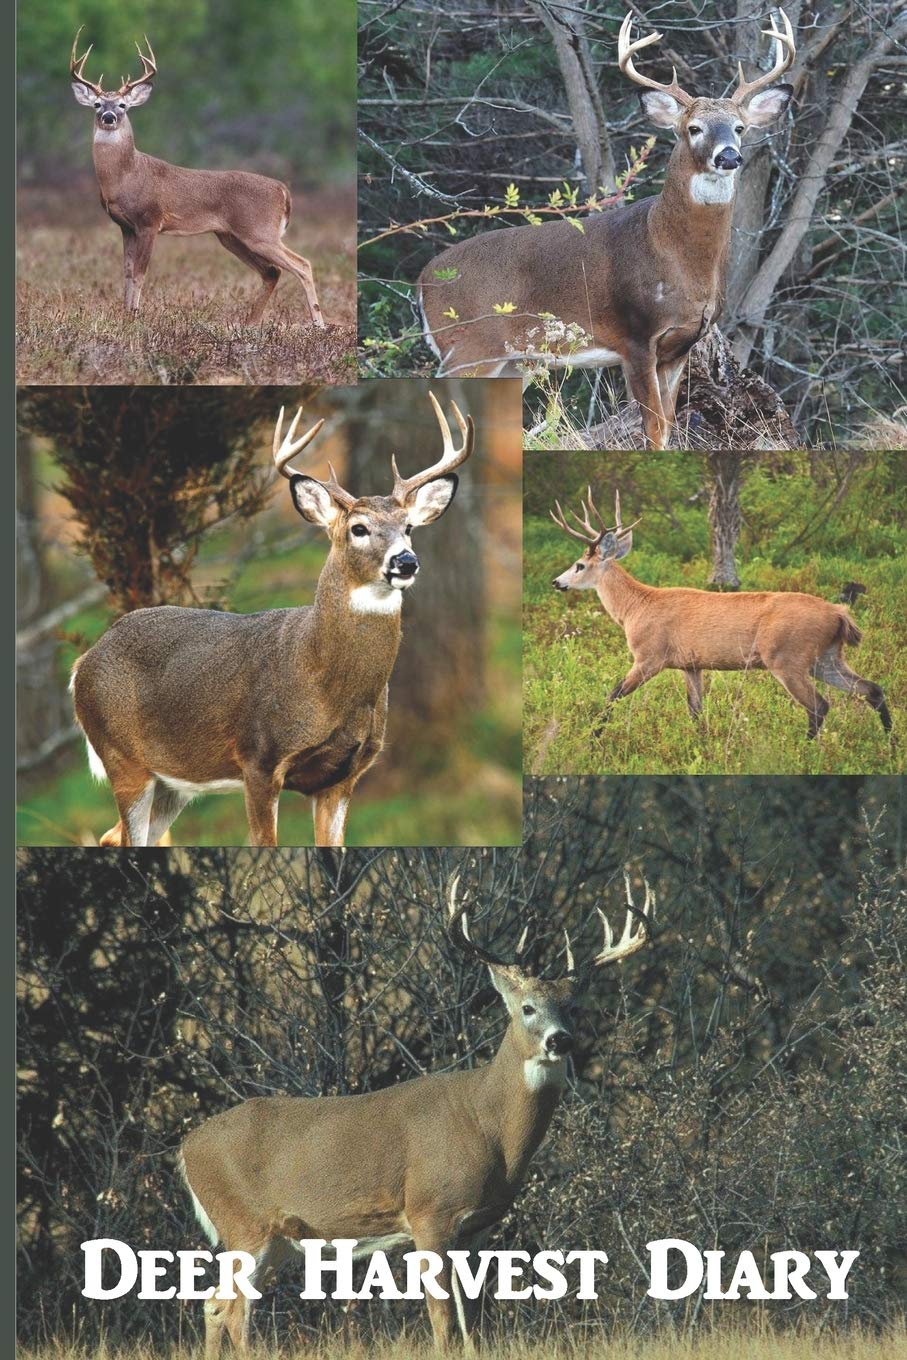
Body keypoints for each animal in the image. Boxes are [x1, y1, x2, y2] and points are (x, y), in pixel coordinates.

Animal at [69, 29, 325, 326]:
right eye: (97, 104)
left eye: (123, 105)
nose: (109, 117)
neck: (125, 176)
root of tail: (283, 190)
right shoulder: (126, 226)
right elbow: (127, 273)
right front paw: (124, 316)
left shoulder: (150, 221)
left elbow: (140, 274)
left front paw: (134, 317)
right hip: (230, 236)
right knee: (272, 271)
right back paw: (249, 324)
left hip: (260, 231)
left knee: (302, 264)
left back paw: (318, 324)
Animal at [69, 394, 474, 848]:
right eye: (359, 528)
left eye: (409, 527)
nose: (405, 561)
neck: (325, 680)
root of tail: (83, 662)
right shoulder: (259, 758)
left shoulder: (344, 776)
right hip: (122, 756)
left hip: (174, 781)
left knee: (114, 837)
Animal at [178, 873, 654, 1353]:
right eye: (528, 1007)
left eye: (573, 1007)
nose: (560, 1039)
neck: (488, 1125)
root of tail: (185, 1148)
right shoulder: (429, 1212)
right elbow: (441, 1316)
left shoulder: (480, 1225)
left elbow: (473, 1317)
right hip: (245, 1224)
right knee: (235, 1311)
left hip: (277, 1239)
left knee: (214, 1302)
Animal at [418, 10, 796, 449]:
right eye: (694, 128)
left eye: (739, 127)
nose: (729, 156)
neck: (676, 254)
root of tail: (422, 280)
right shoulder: (636, 335)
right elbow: (654, 428)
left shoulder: (681, 346)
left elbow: (670, 421)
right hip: (468, 343)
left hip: (514, 359)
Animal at [549, 488, 892, 740]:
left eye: (580, 565)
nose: (556, 582)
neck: (635, 606)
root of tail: (839, 613)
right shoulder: (691, 665)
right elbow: (695, 710)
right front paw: (700, 744)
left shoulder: (650, 656)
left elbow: (614, 694)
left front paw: (592, 738)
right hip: (827, 657)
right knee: (871, 689)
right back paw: (890, 743)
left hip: (787, 658)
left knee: (820, 705)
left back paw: (805, 750)